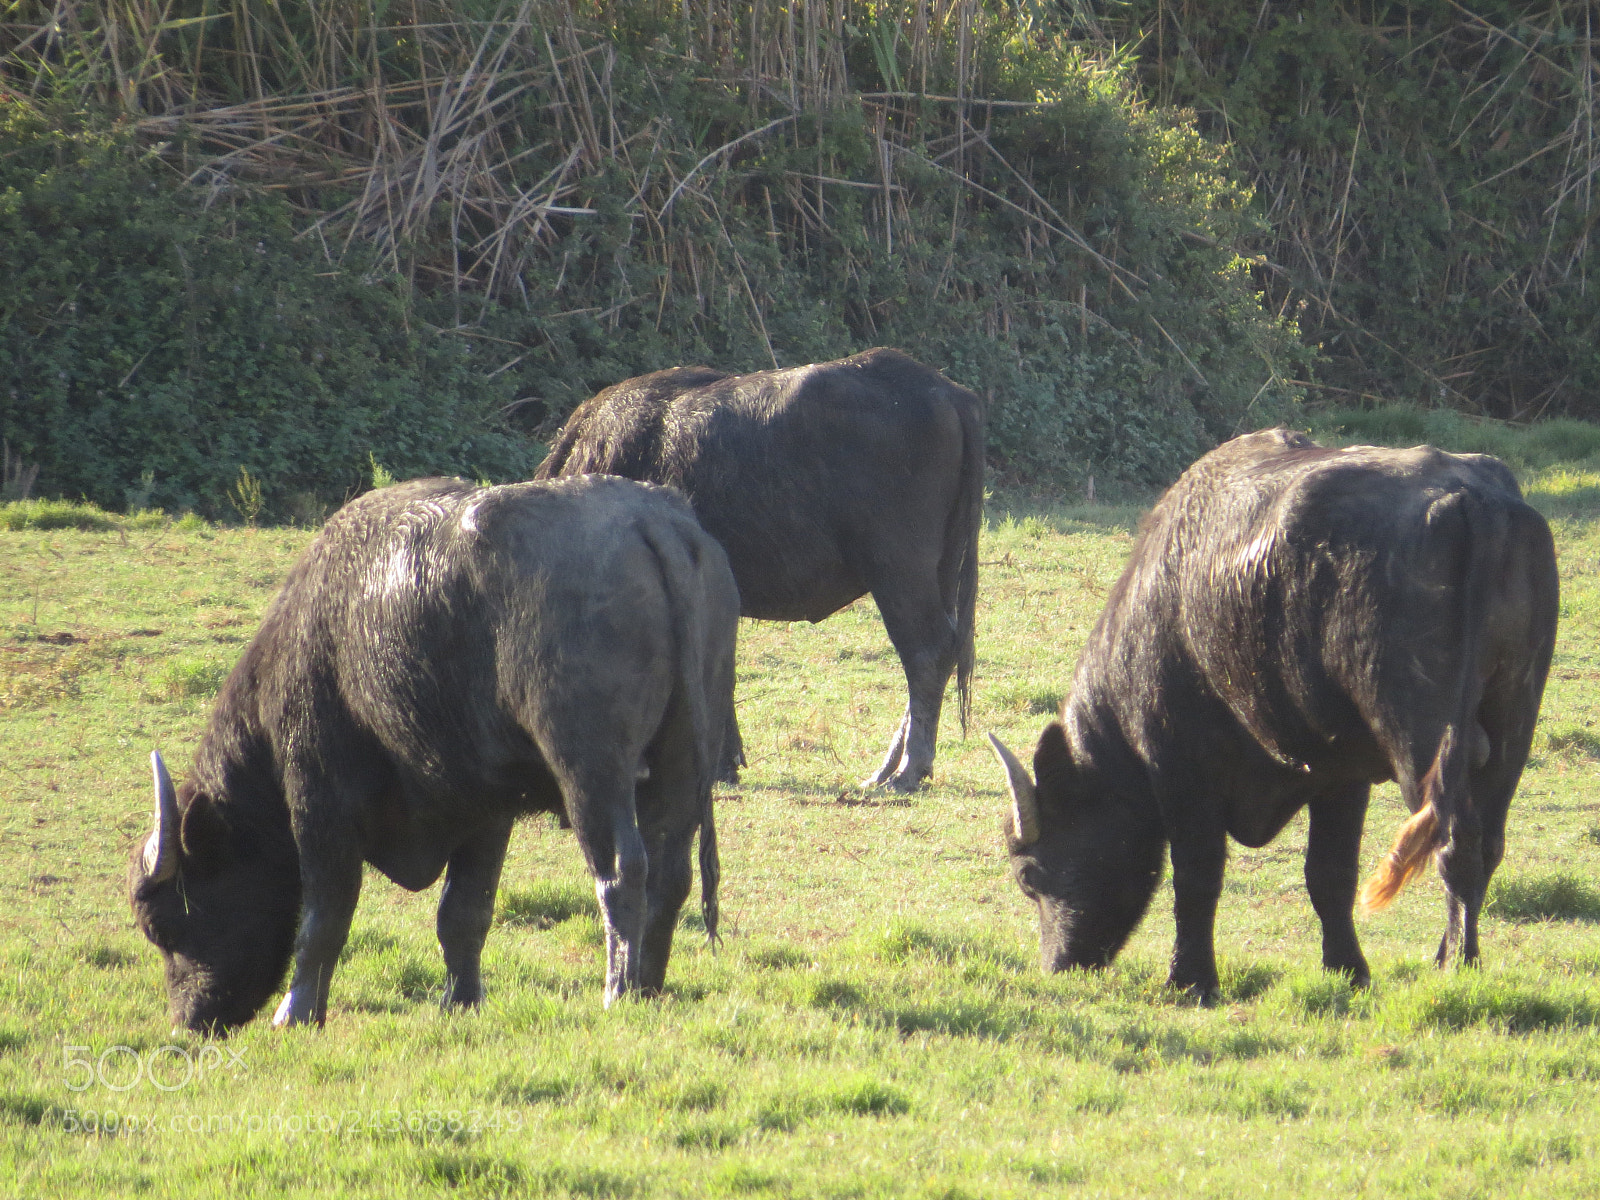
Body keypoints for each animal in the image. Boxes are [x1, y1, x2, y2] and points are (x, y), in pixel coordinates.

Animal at [129, 475, 739, 1031]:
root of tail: (653, 521)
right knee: (671, 871)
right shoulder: (489, 812)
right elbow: (464, 912)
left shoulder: (318, 801)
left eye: (163, 925)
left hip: (591, 769)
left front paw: (296, 1014)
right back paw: (650, 985)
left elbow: (324, 916)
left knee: (621, 869)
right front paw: (460, 1001)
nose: (188, 1022)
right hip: (686, 758)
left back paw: (618, 991)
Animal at [536, 348, 984, 792]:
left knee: (926, 650)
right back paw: (888, 768)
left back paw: (908, 770)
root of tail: (946, 392)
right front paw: (727, 762)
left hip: (898, 569)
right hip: (940, 569)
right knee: (943, 649)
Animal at [989, 429, 1558, 998]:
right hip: (1514, 720)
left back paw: (1456, 963)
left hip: (1422, 738)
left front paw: (1190, 980)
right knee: (1487, 842)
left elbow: (1197, 874)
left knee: (1454, 842)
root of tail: (1471, 503)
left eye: (1028, 876)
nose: (1060, 964)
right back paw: (1449, 954)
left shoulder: (1178, 766)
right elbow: (1330, 875)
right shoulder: (1343, 773)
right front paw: (1347, 968)